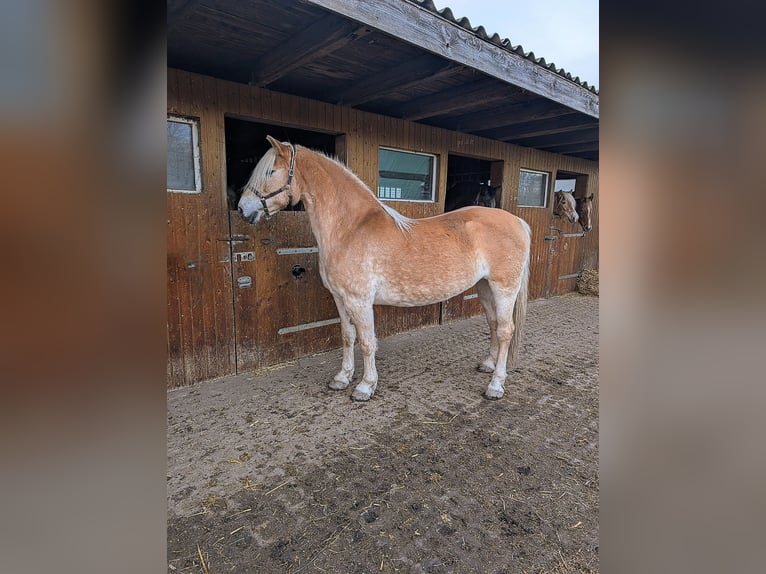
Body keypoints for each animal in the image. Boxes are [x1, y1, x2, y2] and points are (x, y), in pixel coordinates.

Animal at [240, 137, 536, 402]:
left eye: (271, 172)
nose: (243, 209)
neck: (350, 229)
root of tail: (518, 221)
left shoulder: (359, 300)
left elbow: (367, 341)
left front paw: (365, 386)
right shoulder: (340, 298)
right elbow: (347, 337)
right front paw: (342, 378)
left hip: (504, 288)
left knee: (505, 330)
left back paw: (495, 385)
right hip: (485, 288)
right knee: (494, 323)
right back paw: (488, 364)